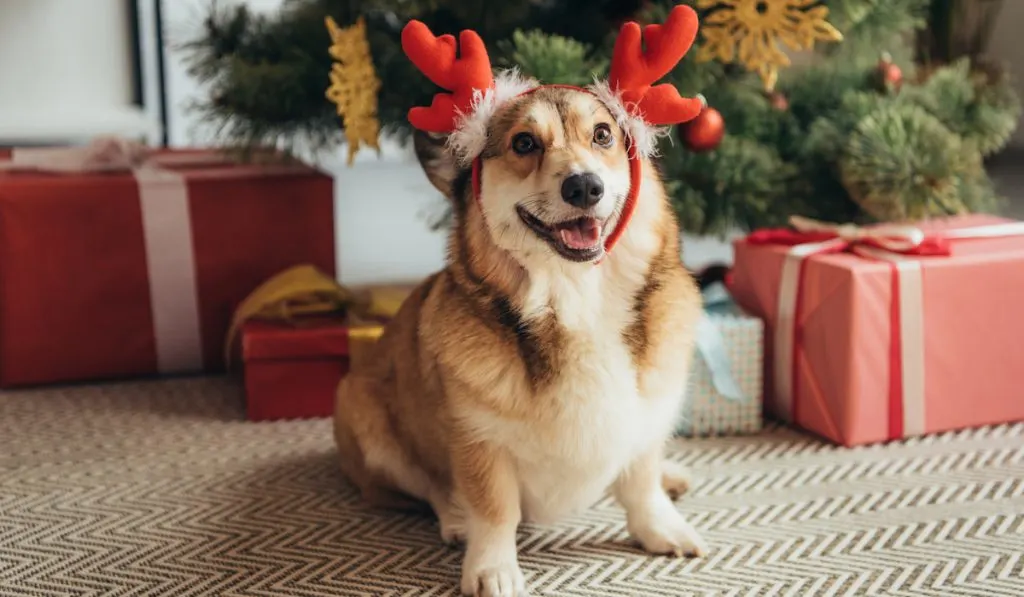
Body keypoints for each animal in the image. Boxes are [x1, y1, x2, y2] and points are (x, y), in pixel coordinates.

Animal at [331, 5, 708, 597]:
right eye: (525, 144)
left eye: (603, 134)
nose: (585, 187)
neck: (576, 298)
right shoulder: (477, 442)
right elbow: (494, 510)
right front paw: (491, 567)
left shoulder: (646, 421)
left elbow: (641, 482)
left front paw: (661, 526)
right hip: (365, 417)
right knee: (426, 486)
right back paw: (454, 519)